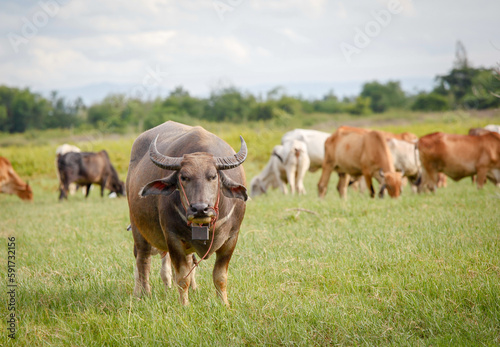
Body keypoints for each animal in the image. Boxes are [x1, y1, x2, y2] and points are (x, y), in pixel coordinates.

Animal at [127, 121, 248, 306]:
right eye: (184, 177)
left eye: (213, 176)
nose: (200, 208)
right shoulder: (173, 238)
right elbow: (182, 277)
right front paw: (184, 305)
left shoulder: (232, 238)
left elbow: (220, 276)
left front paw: (224, 304)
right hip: (137, 228)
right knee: (143, 261)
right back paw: (143, 294)